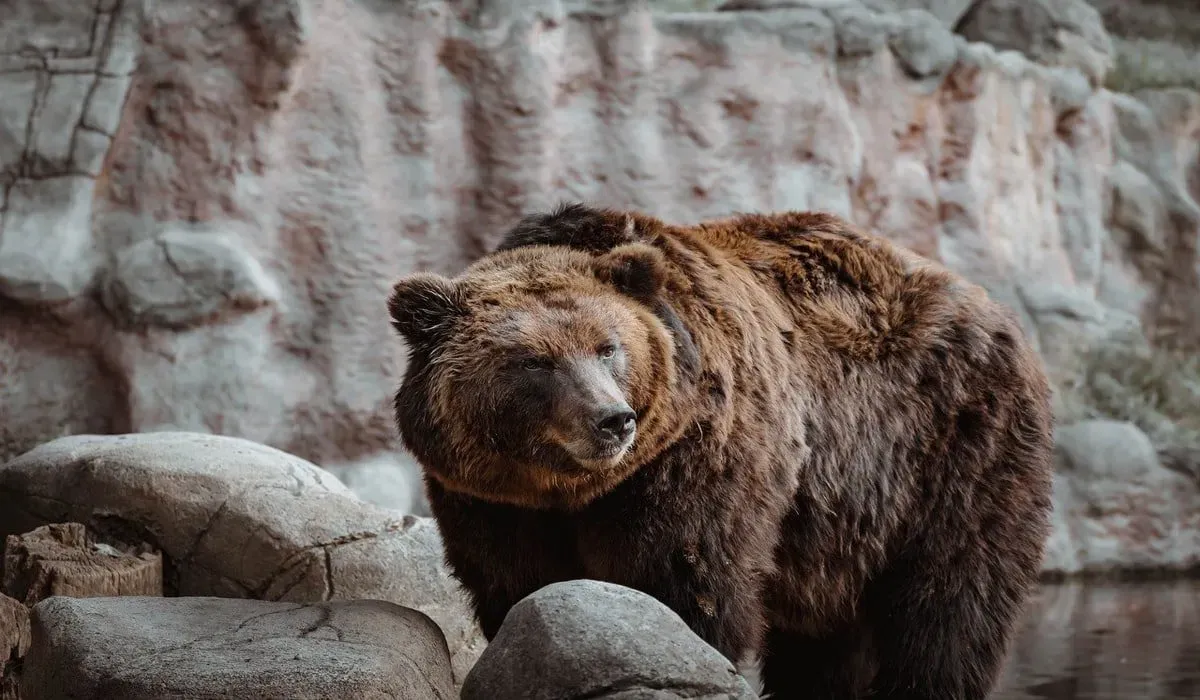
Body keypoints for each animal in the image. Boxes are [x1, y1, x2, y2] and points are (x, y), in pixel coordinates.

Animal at [388, 204, 1056, 700]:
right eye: (535, 361)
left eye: (608, 347)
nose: (613, 420)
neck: (569, 489)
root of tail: (997, 311)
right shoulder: (490, 499)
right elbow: (516, 585)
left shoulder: (696, 457)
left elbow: (685, 580)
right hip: (843, 529)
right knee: (827, 638)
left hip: (952, 450)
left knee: (949, 605)